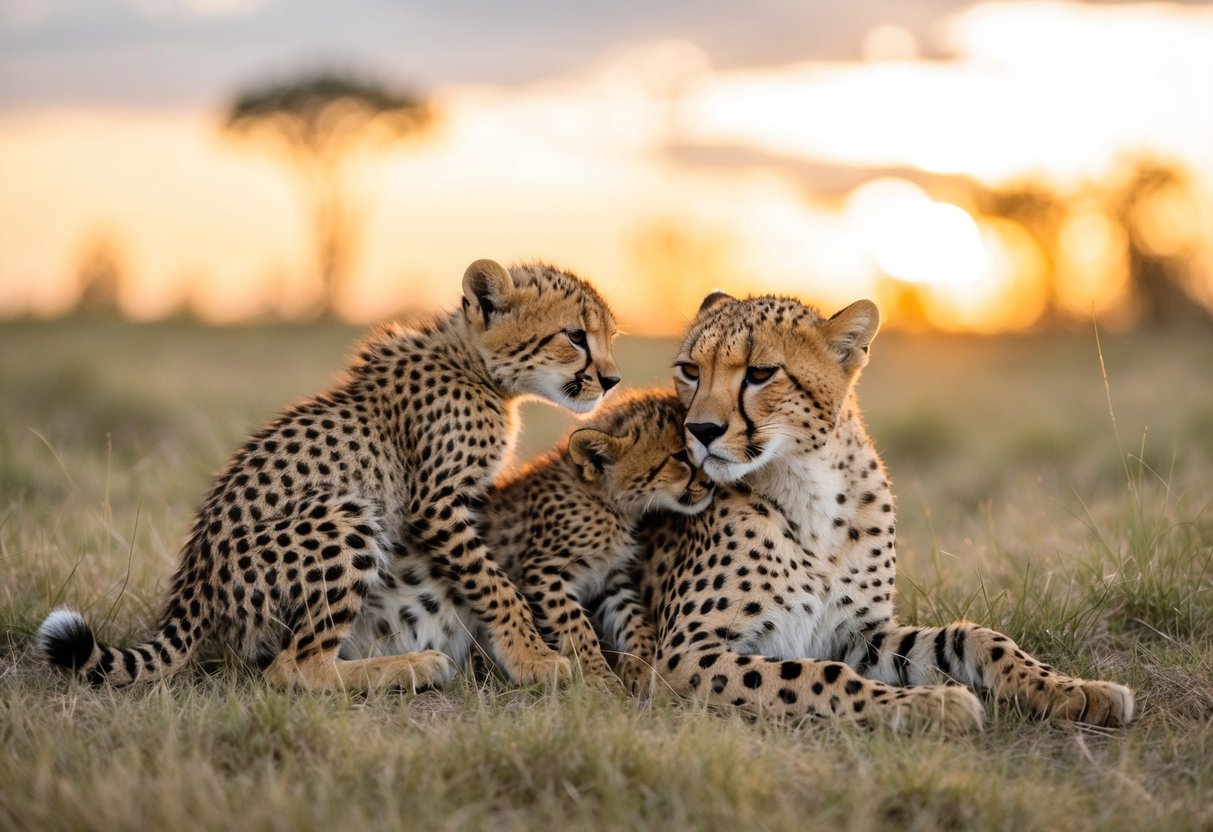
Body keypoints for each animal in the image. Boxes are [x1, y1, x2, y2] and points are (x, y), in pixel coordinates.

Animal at [37, 259, 622, 692]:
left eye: (608, 337)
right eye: (575, 335)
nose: (613, 380)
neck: (475, 367)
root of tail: (192, 588)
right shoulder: (438, 505)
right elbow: (495, 585)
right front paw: (535, 660)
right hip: (344, 516)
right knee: (293, 669)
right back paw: (412, 666)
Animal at [344, 389, 714, 693]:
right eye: (682, 456)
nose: (711, 482)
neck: (610, 502)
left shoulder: (610, 579)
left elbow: (635, 621)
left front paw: (643, 666)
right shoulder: (544, 571)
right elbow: (576, 626)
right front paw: (598, 675)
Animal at [625, 291, 1135, 731]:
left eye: (761, 373)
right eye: (690, 370)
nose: (700, 430)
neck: (808, 484)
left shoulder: (858, 634)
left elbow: (974, 636)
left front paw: (1076, 690)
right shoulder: (683, 655)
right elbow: (817, 675)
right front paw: (933, 705)